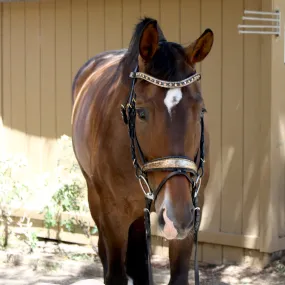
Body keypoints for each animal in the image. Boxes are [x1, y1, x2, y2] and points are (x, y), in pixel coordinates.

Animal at [71, 17, 211, 284]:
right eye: (142, 113)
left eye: (200, 110)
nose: (177, 217)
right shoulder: (113, 217)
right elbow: (115, 273)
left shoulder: (190, 217)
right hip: (95, 197)